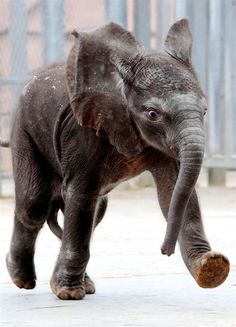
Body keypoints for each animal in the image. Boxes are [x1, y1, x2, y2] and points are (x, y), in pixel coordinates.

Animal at [4, 18, 230, 300]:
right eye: (153, 114)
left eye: (205, 111)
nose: (164, 251)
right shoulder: (83, 130)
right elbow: (82, 193)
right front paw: (69, 293)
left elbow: (174, 190)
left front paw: (212, 268)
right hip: (24, 130)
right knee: (33, 204)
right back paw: (23, 279)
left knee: (94, 213)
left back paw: (83, 284)